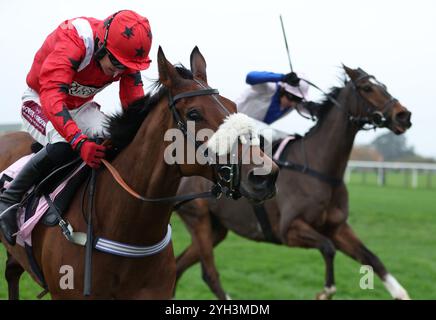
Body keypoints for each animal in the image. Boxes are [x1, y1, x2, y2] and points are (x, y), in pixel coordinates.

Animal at [173, 65, 412, 300]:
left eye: (384, 86)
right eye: (367, 88)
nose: (403, 115)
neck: (321, 169)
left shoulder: (337, 227)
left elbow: (372, 258)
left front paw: (401, 293)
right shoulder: (289, 229)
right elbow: (328, 248)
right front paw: (325, 291)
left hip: (216, 228)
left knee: (178, 265)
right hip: (198, 219)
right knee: (208, 274)